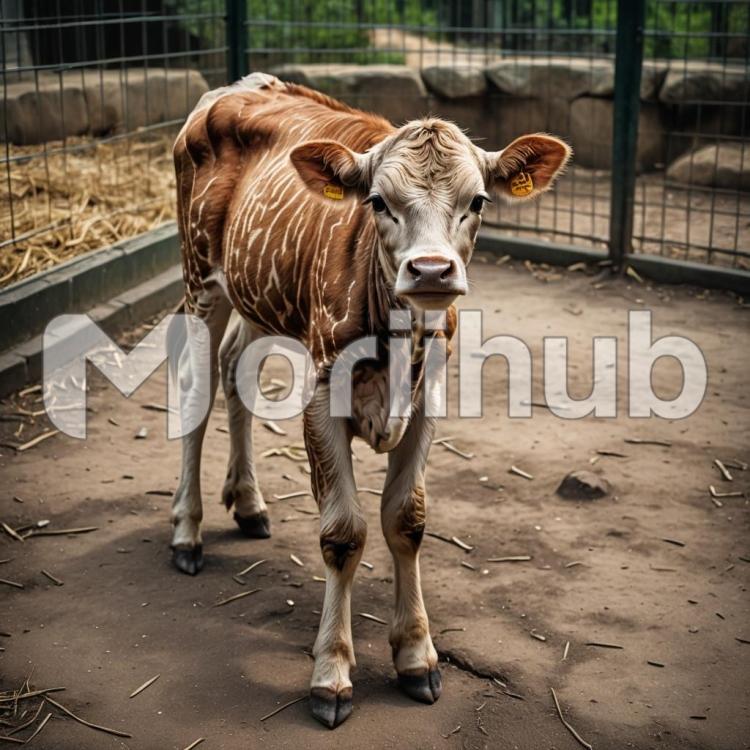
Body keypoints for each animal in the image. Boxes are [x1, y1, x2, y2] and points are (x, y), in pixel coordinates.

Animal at [171, 72, 570, 728]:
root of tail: (244, 84)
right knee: (195, 388)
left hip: (257, 294)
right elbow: (344, 533)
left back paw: (248, 501)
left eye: (478, 201)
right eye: (378, 202)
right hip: (200, 277)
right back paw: (186, 530)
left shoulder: (429, 402)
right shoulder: (321, 397)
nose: (431, 270)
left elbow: (406, 520)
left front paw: (416, 655)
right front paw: (331, 672)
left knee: (235, 371)